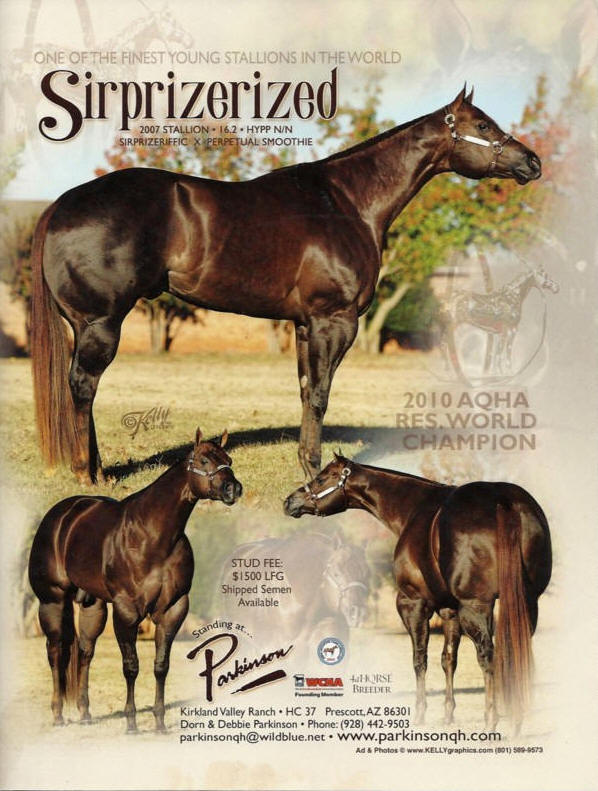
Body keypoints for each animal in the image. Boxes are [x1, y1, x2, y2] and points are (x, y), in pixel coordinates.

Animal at [28, 429, 242, 733]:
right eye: (203, 459)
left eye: (228, 460)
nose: (233, 489)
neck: (152, 538)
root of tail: (59, 516)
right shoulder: (127, 611)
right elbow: (131, 666)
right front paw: (131, 723)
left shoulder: (173, 609)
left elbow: (161, 666)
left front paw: (160, 722)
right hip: (52, 601)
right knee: (56, 652)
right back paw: (58, 716)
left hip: (93, 606)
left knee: (85, 652)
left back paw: (85, 714)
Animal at [29, 85, 541, 484]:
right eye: (484, 125)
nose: (532, 162)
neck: (347, 203)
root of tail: (60, 205)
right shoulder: (333, 320)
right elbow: (320, 395)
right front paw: (316, 471)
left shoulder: (303, 324)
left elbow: (304, 390)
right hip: (101, 322)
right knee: (83, 386)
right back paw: (87, 475)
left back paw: (99, 471)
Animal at [283, 455, 552, 732]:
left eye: (322, 478)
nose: (290, 501)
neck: (414, 508)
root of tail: (503, 501)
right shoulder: (449, 609)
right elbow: (448, 658)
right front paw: (448, 715)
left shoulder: (413, 604)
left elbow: (419, 659)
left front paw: (419, 714)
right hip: (527, 603)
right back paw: (517, 721)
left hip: (476, 606)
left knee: (487, 655)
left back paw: (491, 721)